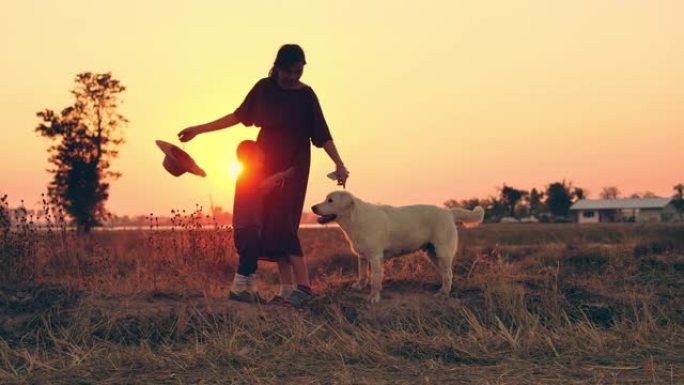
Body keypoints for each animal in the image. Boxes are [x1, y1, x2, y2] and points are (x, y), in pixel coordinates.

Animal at [312, 190, 484, 302]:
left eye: (330, 200)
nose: (313, 207)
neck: (355, 219)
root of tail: (448, 212)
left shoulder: (375, 257)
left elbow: (375, 280)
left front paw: (374, 297)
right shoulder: (362, 256)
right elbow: (362, 274)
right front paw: (359, 286)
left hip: (442, 252)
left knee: (448, 274)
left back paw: (444, 294)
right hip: (432, 254)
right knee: (446, 274)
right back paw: (442, 290)